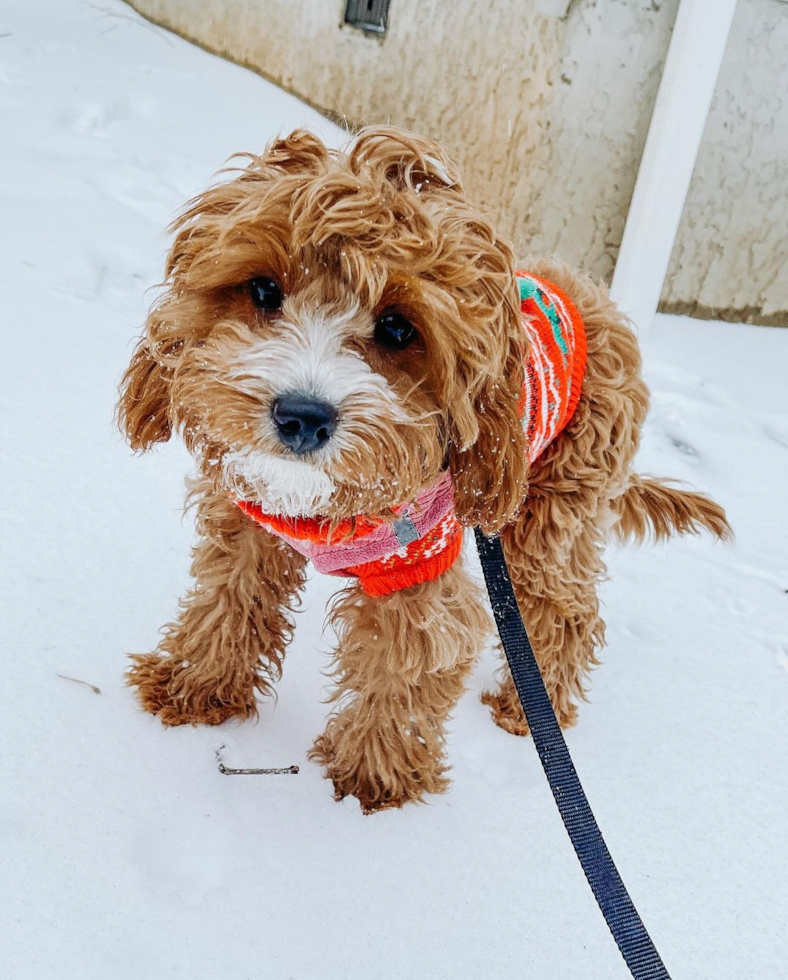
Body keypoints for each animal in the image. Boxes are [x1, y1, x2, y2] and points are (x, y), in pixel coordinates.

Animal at [118, 124, 732, 812]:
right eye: (263, 290)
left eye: (396, 327)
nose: (303, 416)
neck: (322, 503)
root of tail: (595, 301)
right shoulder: (250, 524)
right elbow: (228, 600)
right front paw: (192, 688)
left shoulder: (420, 561)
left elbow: (408, 661)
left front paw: (375, 783)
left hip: (550, 507)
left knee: (568, 609)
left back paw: (528, 708)